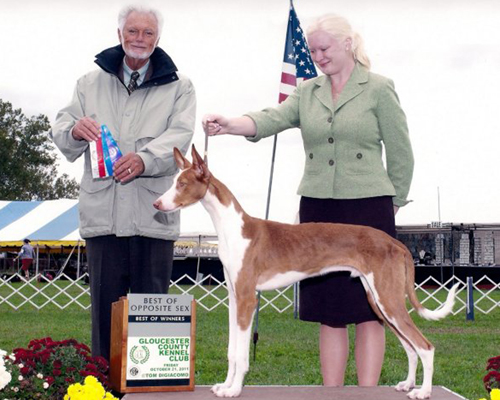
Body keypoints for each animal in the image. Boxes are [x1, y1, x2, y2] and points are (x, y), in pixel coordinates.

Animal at [154, 145, 458, 399]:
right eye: (174, 182)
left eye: (181, 184)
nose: (157, 204)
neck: (232, 228)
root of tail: (395, 242)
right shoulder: (233, 297)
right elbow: (231, 351)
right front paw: (225, 385)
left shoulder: (247, 298)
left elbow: (241, 354)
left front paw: (235, 389)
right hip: (379, 301)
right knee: (410, 347)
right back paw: (408, 384)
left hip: (388, 299)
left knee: (425, 346)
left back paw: (423, 392)